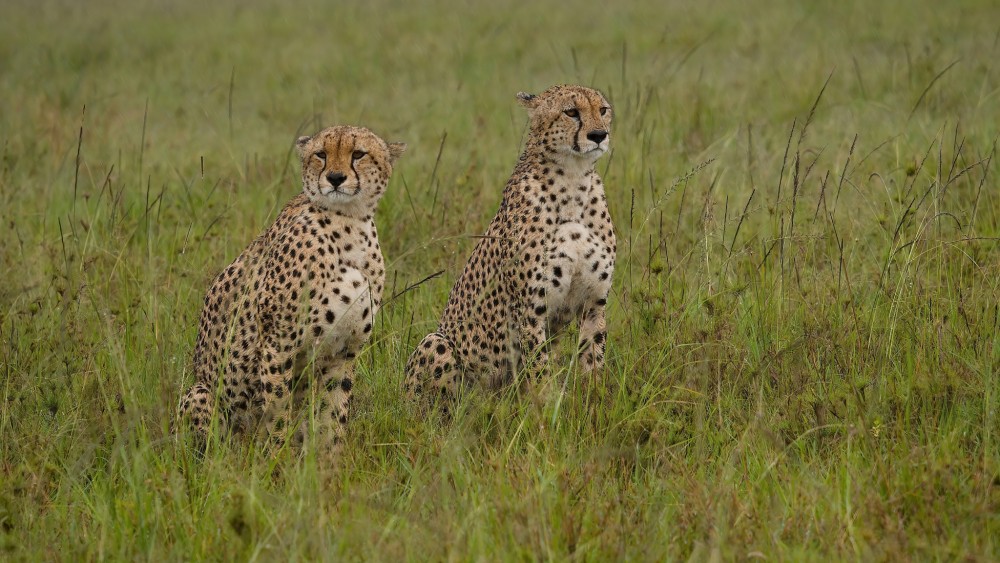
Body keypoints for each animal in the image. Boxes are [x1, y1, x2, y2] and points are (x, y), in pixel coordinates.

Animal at [178, 124, 404, 458]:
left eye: (358, 154)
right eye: (321, 154)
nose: (335, 178)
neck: (349, 223)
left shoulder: (344, 351)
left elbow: (333, 415)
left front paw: (329, 464)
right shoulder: (278, 344)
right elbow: (277, 413)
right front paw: (277, 463)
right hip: (201, 394)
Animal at [406, 83, 616, 400]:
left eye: (602, 110)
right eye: (571, 112)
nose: (599, 135)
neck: (573, 181)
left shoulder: (594, 301)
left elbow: (594, 361)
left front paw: (595, 402)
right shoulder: (531, 308)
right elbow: (540, 371)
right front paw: (548, 407)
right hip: (436, 342)